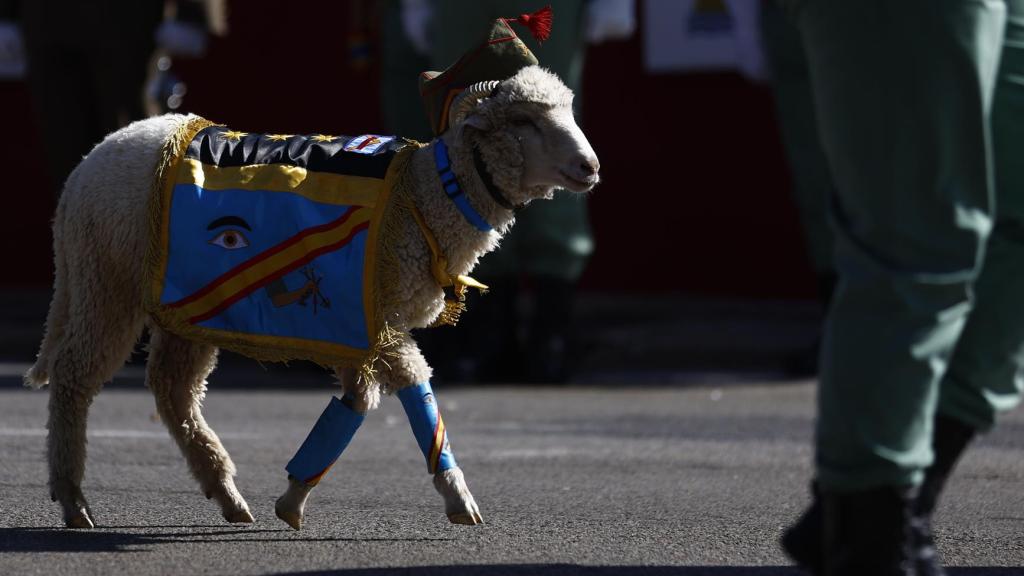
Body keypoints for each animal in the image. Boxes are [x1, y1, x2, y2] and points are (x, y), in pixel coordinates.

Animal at [25, 65, 598, 528]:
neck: (428, 197)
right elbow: (416, 393)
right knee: (75, 380)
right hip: (106, 281)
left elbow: (356, 403)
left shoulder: (361, 328)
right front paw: (460, 500)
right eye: (524, 122)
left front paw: (294, 496)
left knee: (173, 392)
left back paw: (228, 495)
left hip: (183, 306)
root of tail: (88, 163)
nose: (591, 167)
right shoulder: (383, 321)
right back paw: (74, 501)